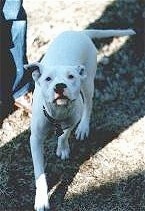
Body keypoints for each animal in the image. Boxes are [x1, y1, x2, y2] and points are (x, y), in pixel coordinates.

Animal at [24, 28, 135, 210]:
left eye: (71, 76)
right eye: (48, 79)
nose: (59, 86)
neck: (58, 113)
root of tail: (81, 32)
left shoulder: (73, 117)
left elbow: (65, 134)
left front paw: (63, 147)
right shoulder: (36, 139)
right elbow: (40, 173)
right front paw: (41, 200)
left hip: (88, 83)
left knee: (89, 104)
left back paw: (83, 128)